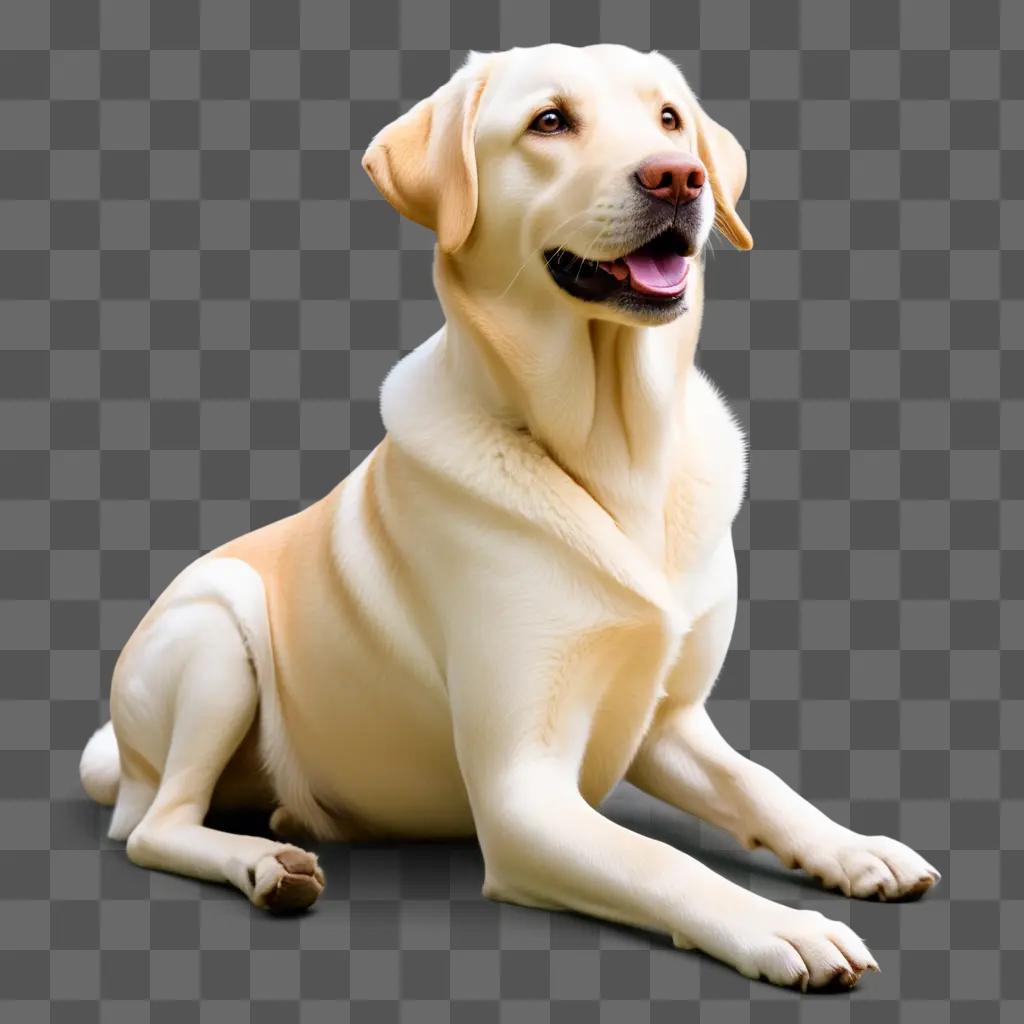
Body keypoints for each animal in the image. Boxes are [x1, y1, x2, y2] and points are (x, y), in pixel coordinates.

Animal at [81, 44, 937, 987]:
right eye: (550, 122)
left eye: (670, 118)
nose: (678, 176)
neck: (618, 457)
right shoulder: (520, 793)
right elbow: (662, 861)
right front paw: (781, 927)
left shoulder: (668, 722)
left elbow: (762, 785)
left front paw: (855, 848)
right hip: (216, 625)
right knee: (155, 828)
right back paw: (266, 866)